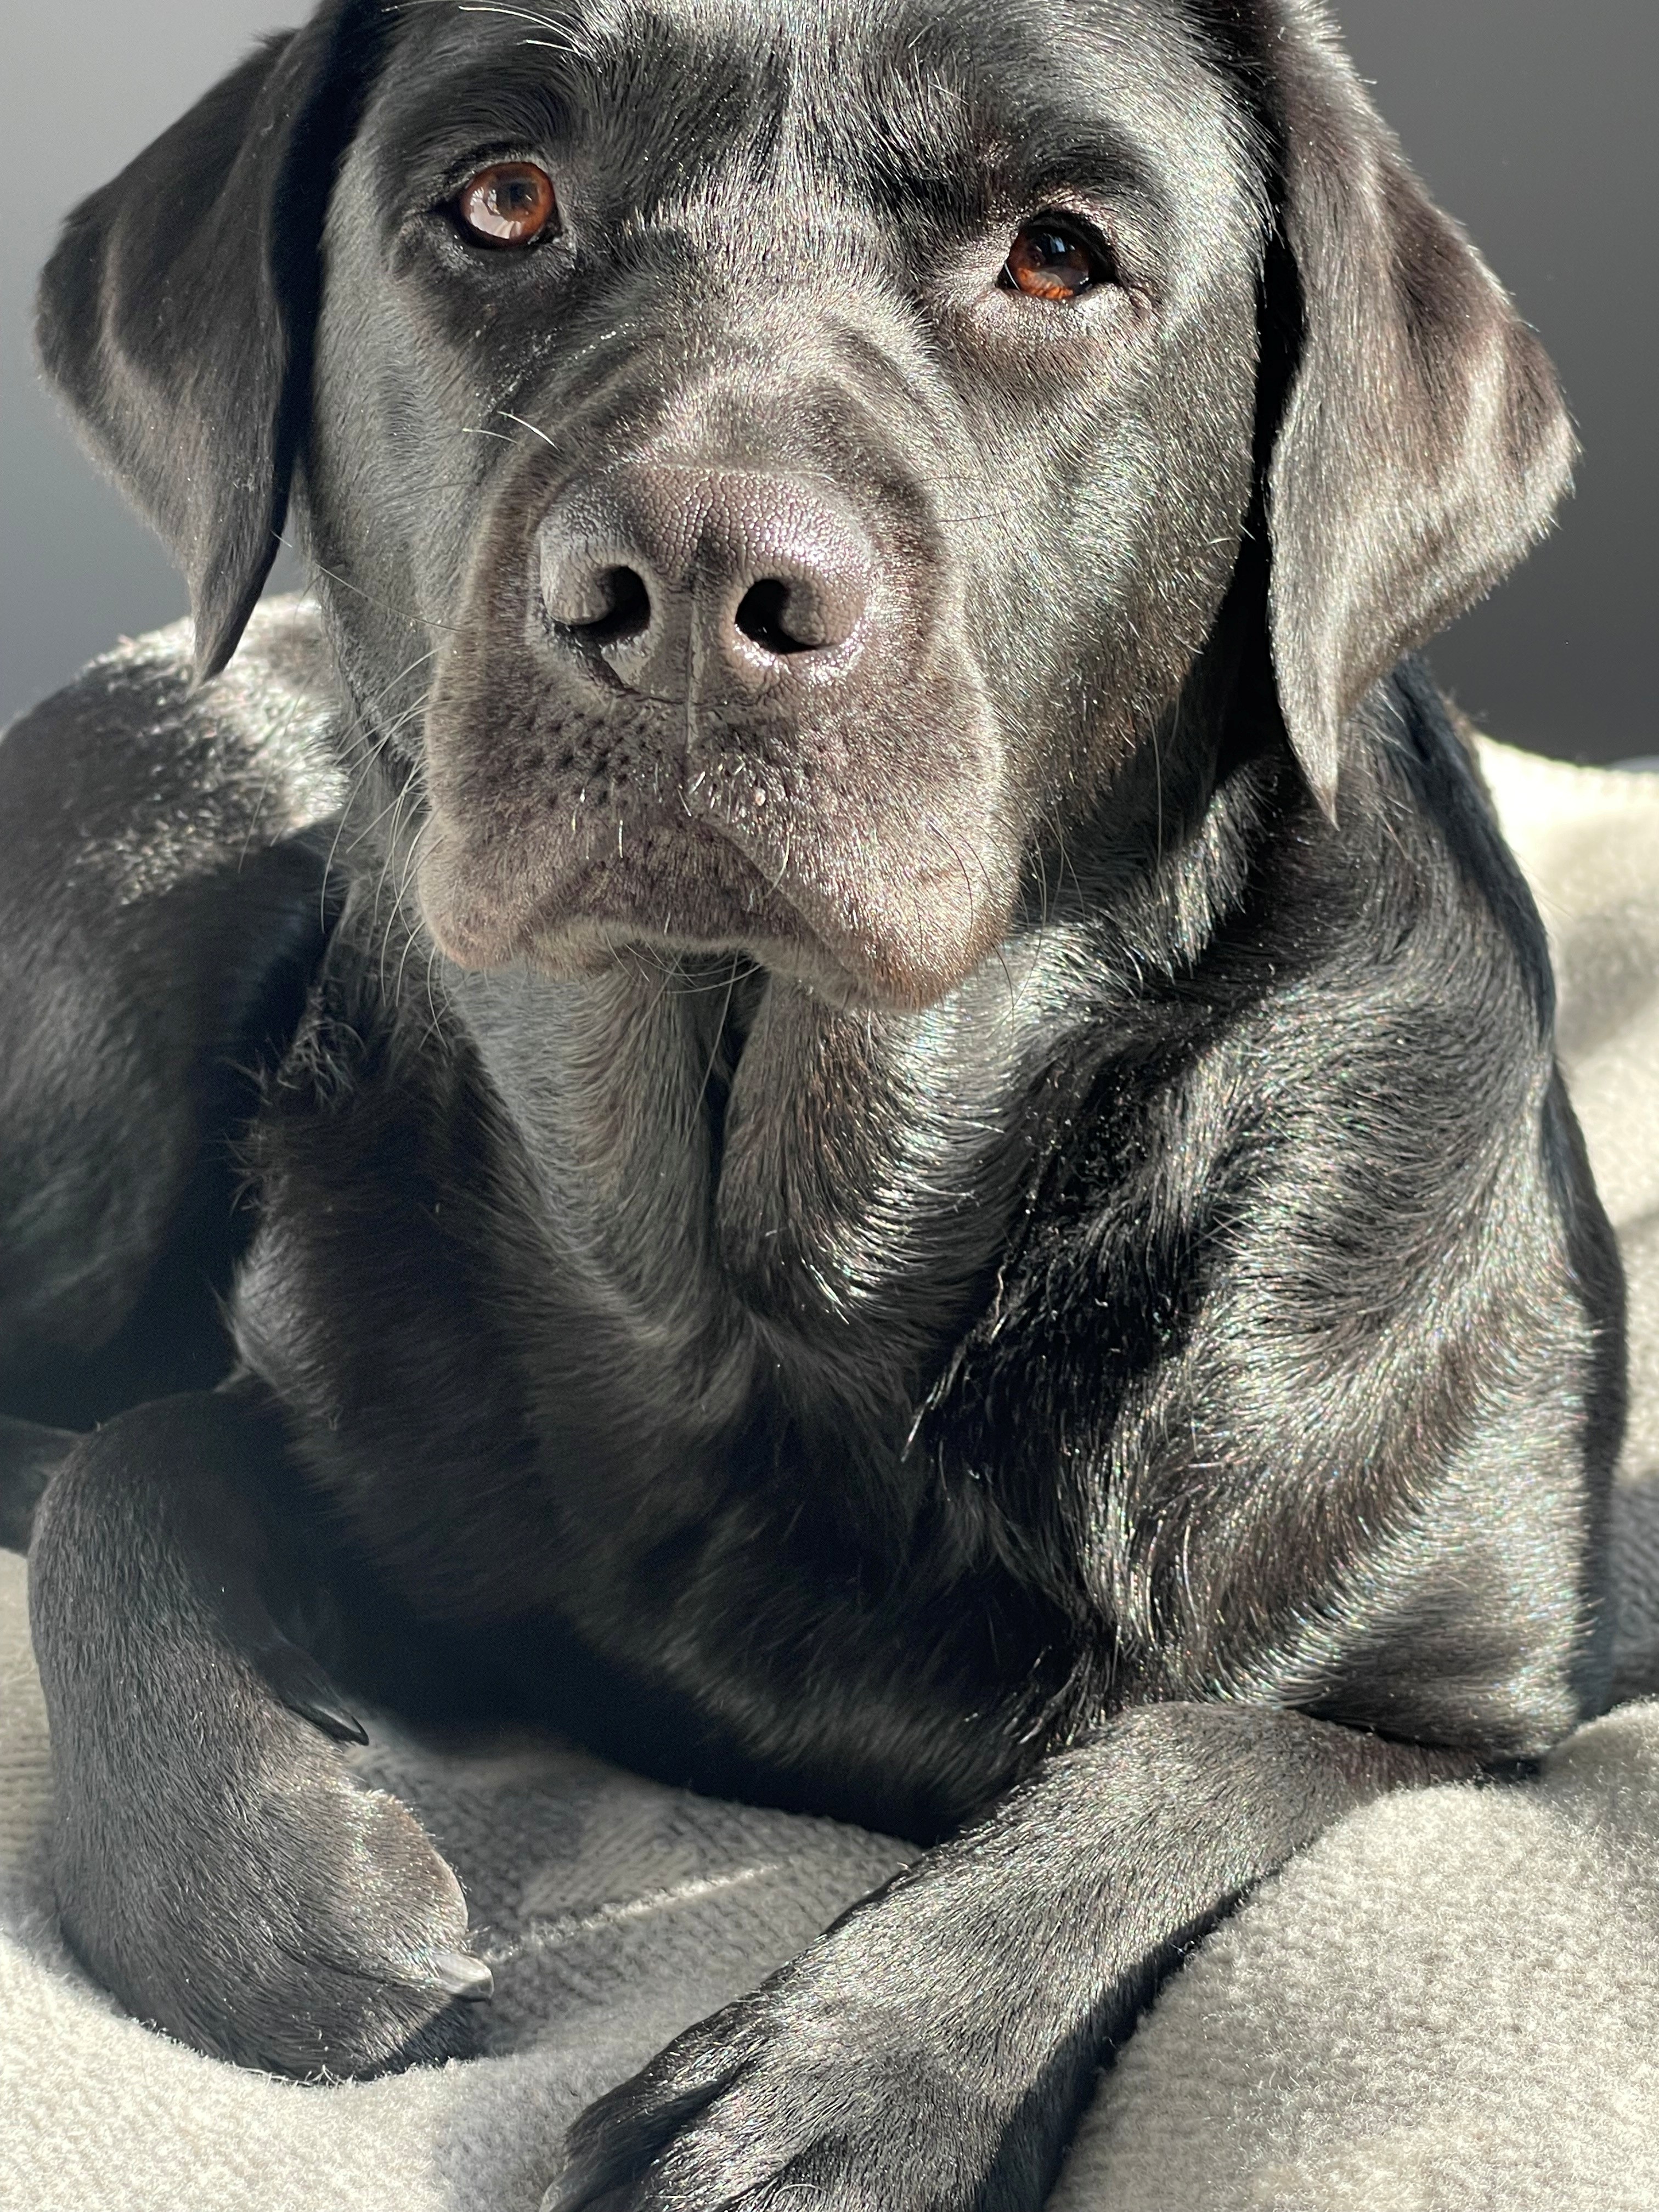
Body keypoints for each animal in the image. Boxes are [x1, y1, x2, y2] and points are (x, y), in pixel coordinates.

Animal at [0, 0, 1625, 2203]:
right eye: (500, 199)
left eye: (1056, 256)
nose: (691, 576)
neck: (779, 1297)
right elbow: (136, 1472)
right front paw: (270, 1882)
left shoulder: (1487, 1712)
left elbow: (1210, 1761)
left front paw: (834, 2086)